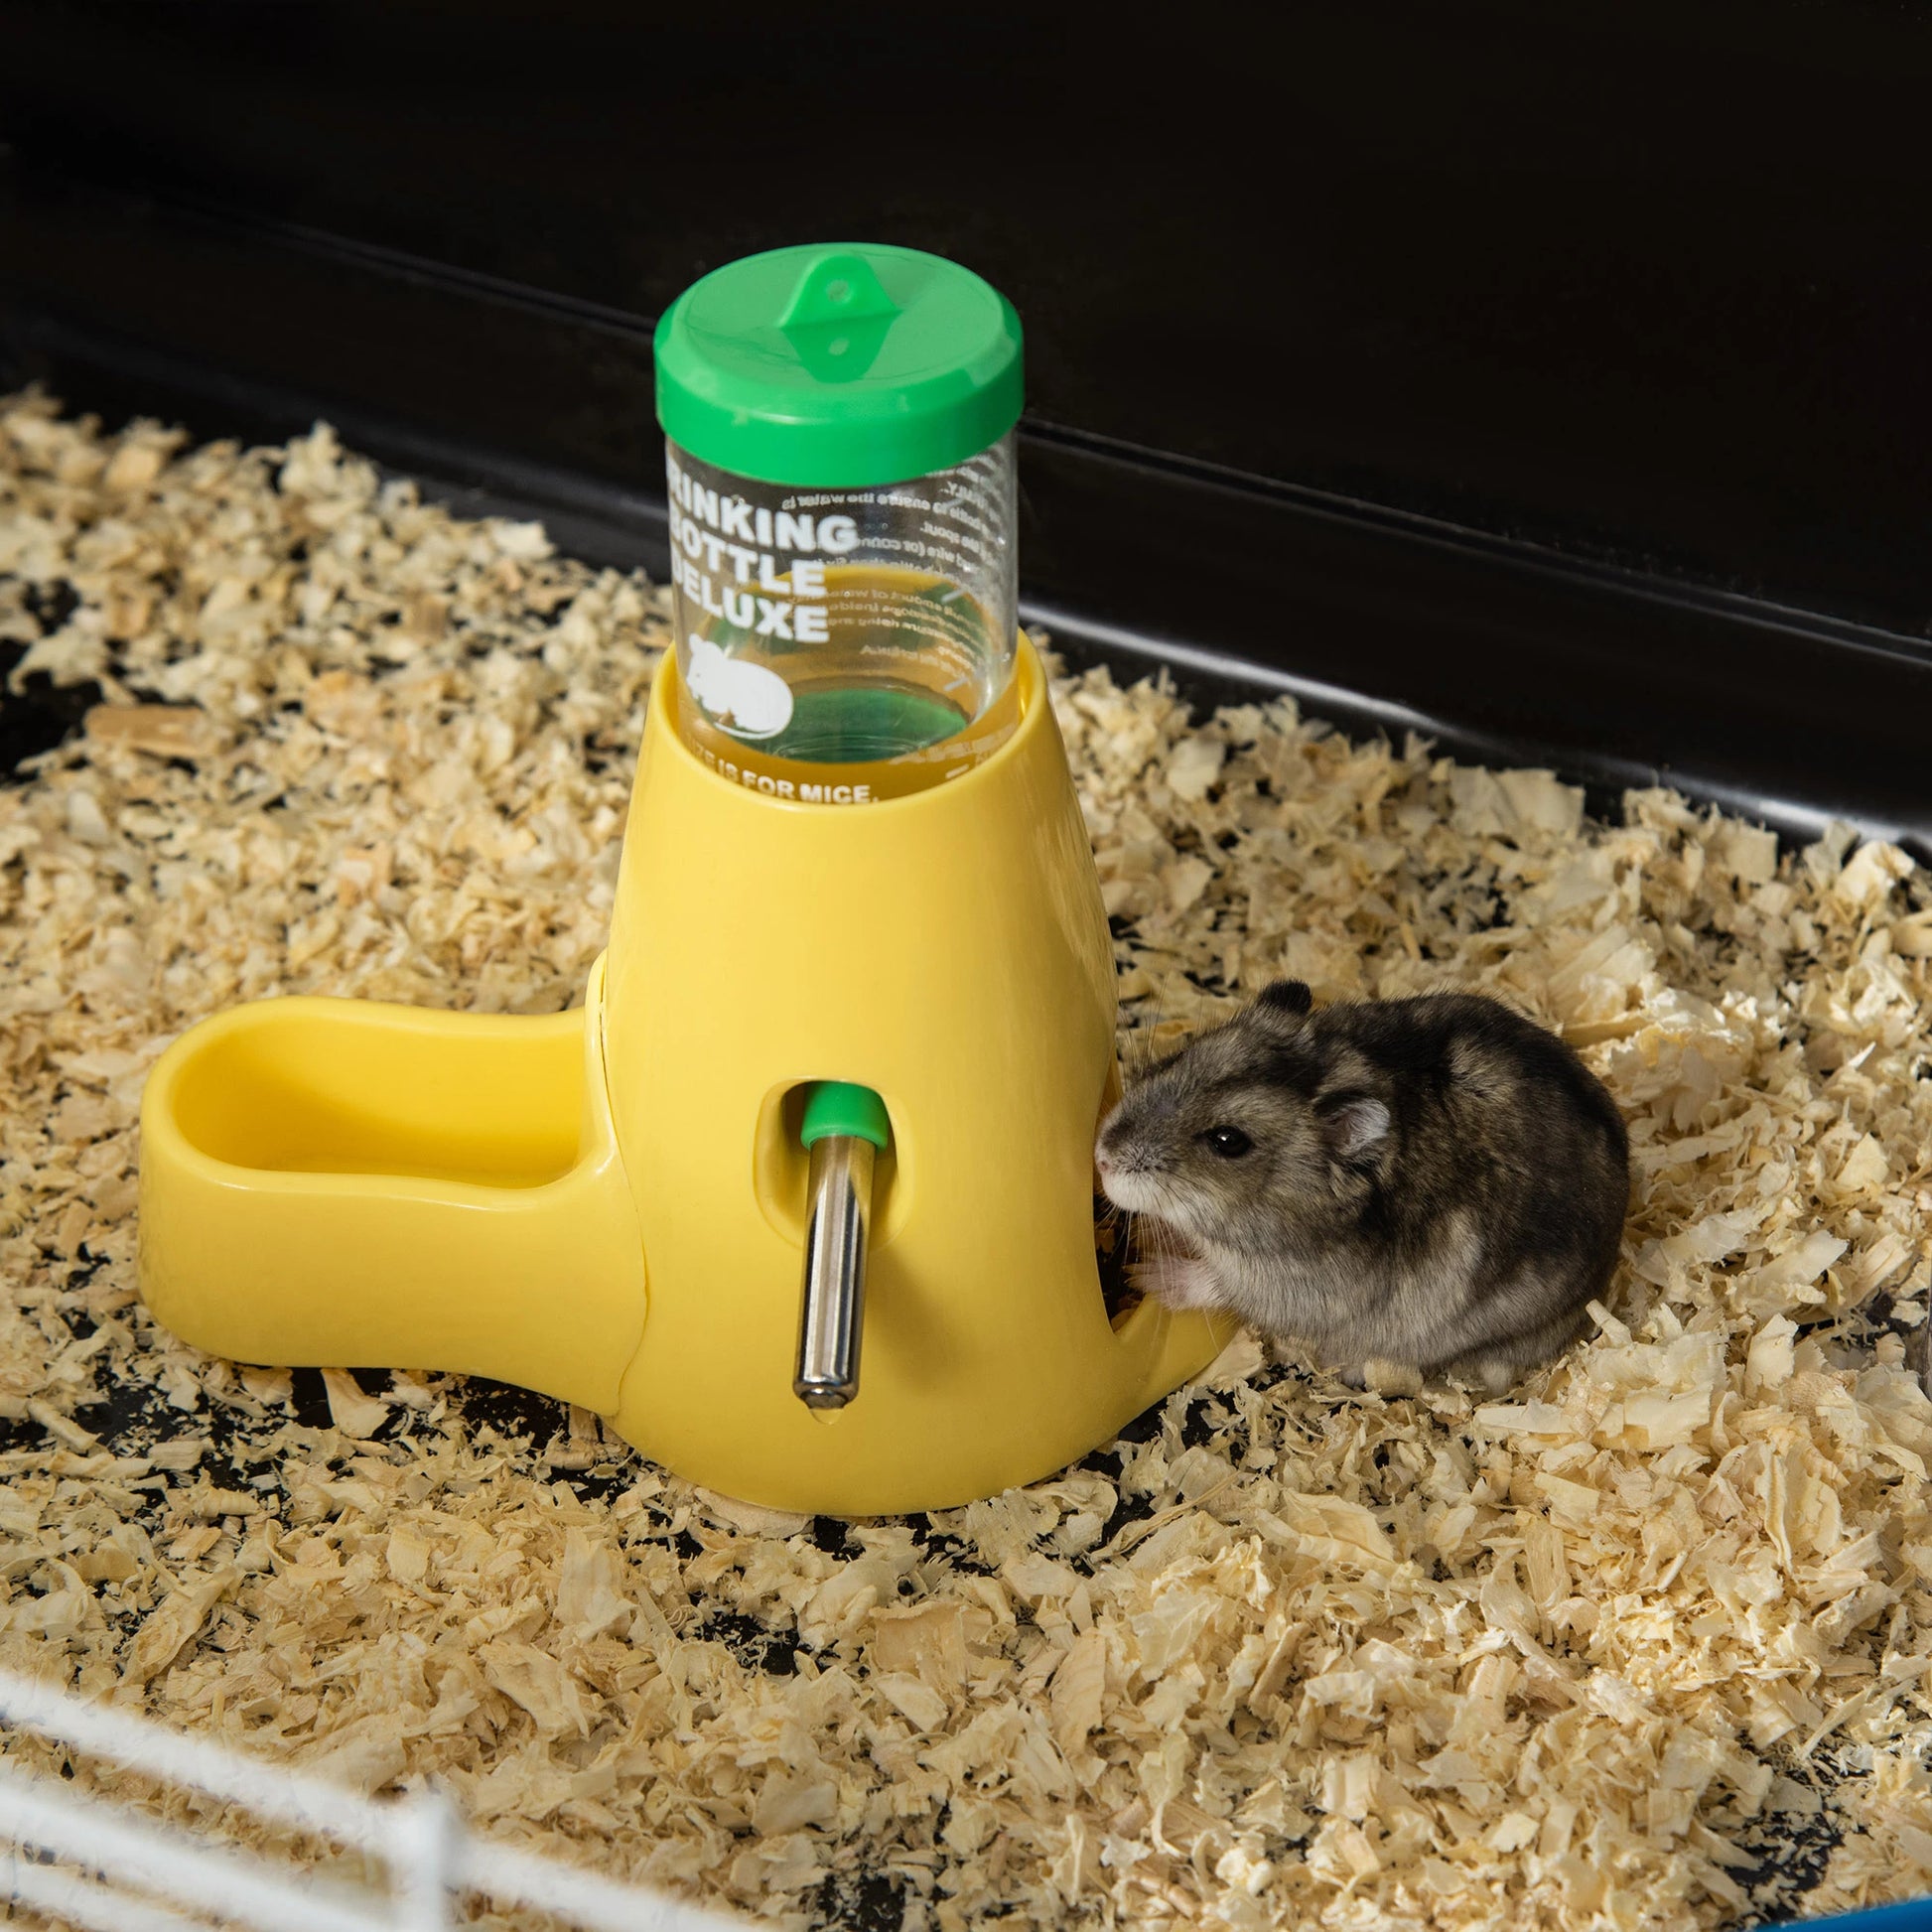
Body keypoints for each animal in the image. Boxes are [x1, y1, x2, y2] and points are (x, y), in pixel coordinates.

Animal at [1095, 982, 1629, 1393]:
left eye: (1228, 1141)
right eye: (1179, 1056)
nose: (1100, 1159)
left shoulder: (1289, 1287)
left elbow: (1216, 1284)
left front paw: (1145, 1275)